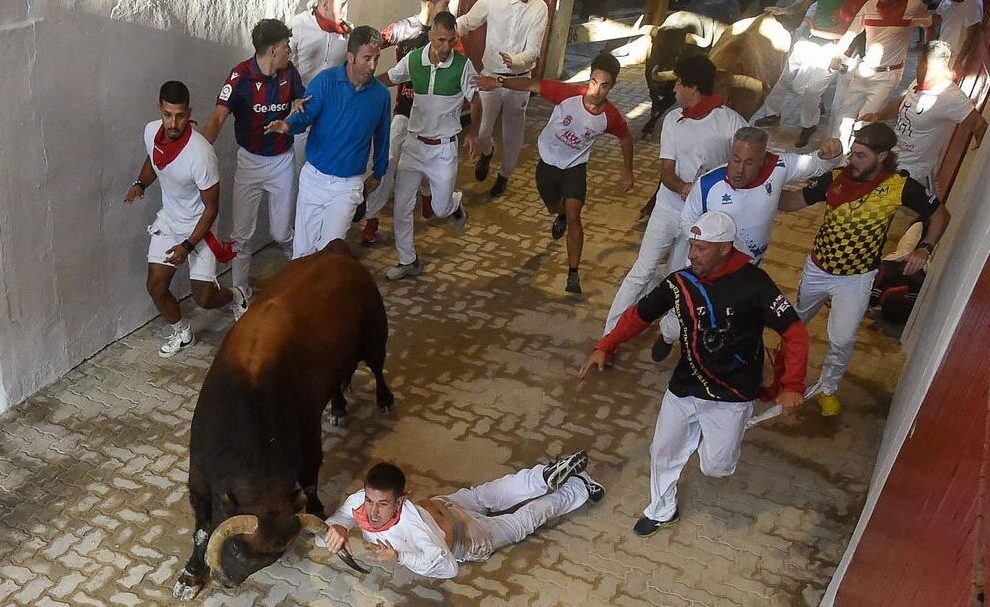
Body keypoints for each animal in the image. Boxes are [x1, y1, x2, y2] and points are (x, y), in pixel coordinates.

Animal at [174, 240, 396, 600]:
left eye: (270, 558)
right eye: (235, 550)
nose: (229, 582)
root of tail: (336, 250)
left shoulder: (308, 443)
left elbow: (310, 481)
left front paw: (318, 508)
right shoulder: (199, 480)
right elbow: (201, 530)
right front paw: (190, 575)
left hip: (375, 336)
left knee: (377, 367)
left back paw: (385, 400)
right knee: (340, 381)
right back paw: (338, 409)